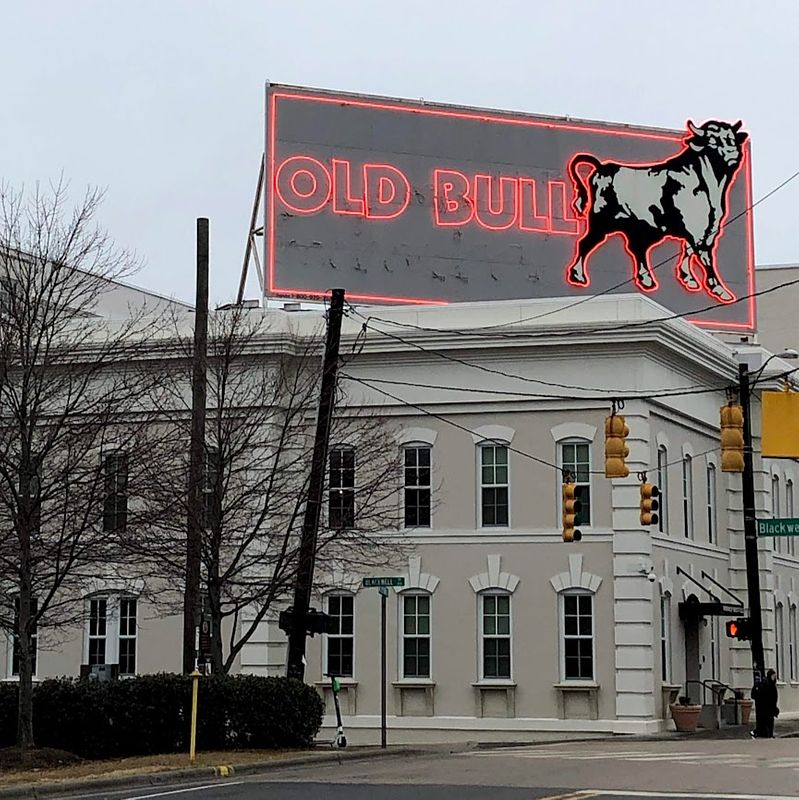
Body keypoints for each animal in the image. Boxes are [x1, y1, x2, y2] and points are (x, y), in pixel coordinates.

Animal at [564, 119, 748, 304]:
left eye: (732, 139)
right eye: (711, 141)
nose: (732, 153)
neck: (708, 183)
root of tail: (603, 166)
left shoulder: (708, 227)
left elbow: (688, 250)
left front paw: (688, 278)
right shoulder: (696, 229)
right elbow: (704, 256)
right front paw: (719, 289)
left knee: (637, 249)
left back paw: (646, 280)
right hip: (601, 221)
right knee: (585, 243)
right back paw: (578, 276)